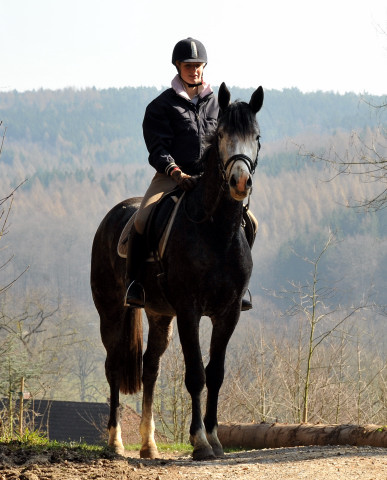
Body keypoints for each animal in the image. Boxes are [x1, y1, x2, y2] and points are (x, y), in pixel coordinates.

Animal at [91, 83, 264, 462]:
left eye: (256, 137)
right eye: (222, 135)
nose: (240, 182)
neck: (216, 230)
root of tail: (113, 214)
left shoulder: (228, 313)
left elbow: (215, 373)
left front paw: (214, 438)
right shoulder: (189, 311)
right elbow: (196, 374)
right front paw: (199, 442)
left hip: (159, 315)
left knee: (150, 368)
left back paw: (148, 445)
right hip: (111, 311)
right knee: (113, 366)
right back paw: (115, 442)